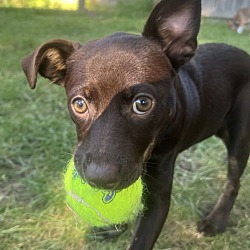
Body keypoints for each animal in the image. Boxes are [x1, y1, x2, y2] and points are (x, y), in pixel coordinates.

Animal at [22, 0, 250, 249]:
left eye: (143, 103)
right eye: (79, 104)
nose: (99, 179)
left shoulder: (158, 194)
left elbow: (141, 239)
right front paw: (112, 227)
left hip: (240, 140)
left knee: (233, 182)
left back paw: (215, 222)